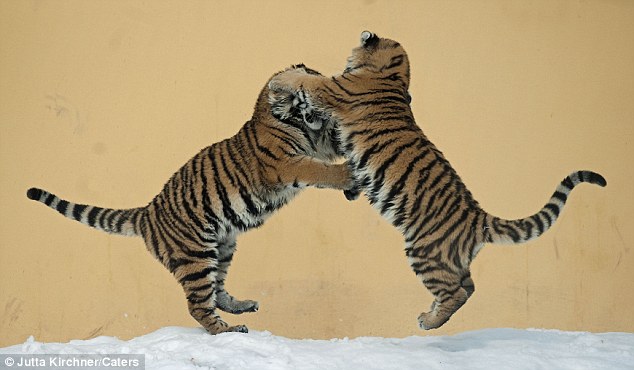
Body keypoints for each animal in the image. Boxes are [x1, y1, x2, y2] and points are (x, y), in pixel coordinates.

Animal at [27, 64, 354, 336]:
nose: (330, 101)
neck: (293, 121)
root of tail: (146, 212)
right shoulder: (286, 164)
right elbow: (319, 170)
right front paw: (348, 174)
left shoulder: (319, 142)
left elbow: (334, 144)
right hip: (195, 255)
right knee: (198, 305)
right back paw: (228, 330)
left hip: (223, 246)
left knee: (216, 293)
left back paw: (243, 306)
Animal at [266, 29, 604, 330]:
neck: (394, 74)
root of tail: (478, 216)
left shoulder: (333, 89)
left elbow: (308, 82)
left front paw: (281, 79)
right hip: (452, 260)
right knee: (469, 288)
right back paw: (431, 313)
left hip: (425, 253)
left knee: (456, 293)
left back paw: (428, 322)